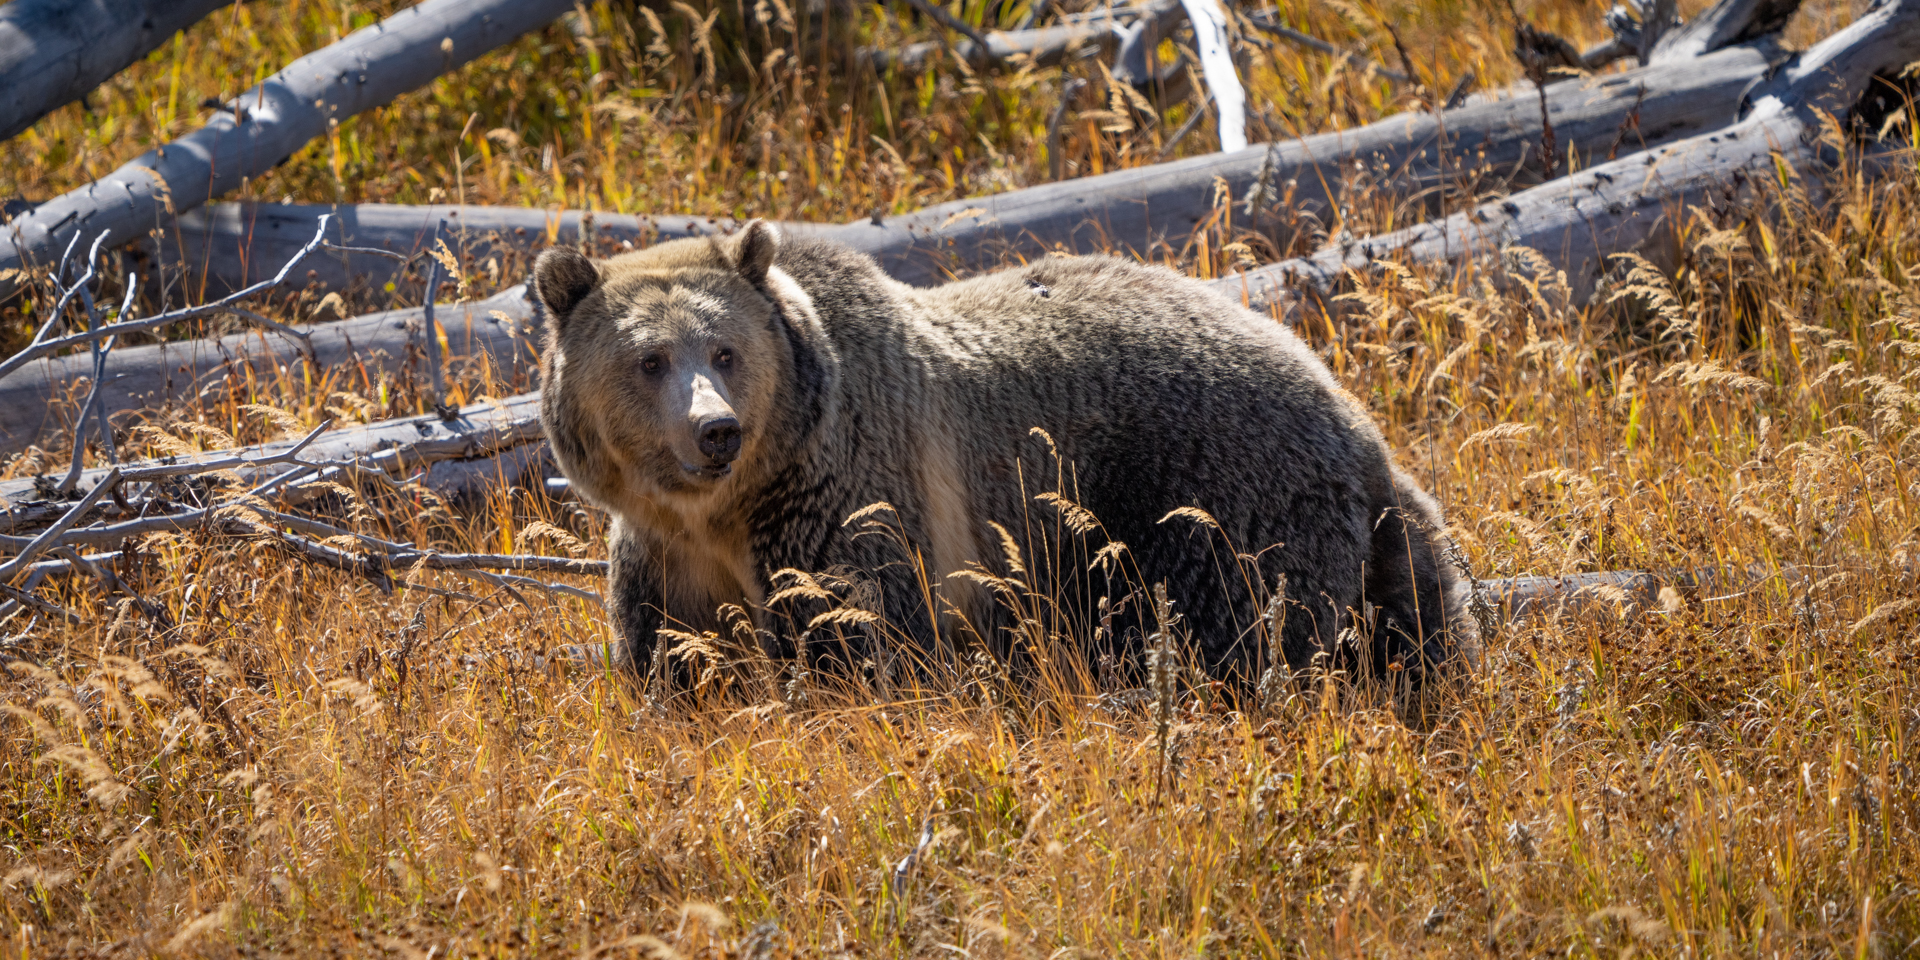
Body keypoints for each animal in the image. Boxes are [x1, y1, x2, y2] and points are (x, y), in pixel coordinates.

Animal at [533, 223, 1459, 687]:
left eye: (725, 351)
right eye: (649, 359)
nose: (715, 430)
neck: (733, 505)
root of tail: (1355, 417)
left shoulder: (847, 502)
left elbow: (855, 637)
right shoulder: (671, 558)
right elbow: (680, 661)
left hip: (1213, 504)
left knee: (1240, 633)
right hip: (1386, 544)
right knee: (1420, 633)